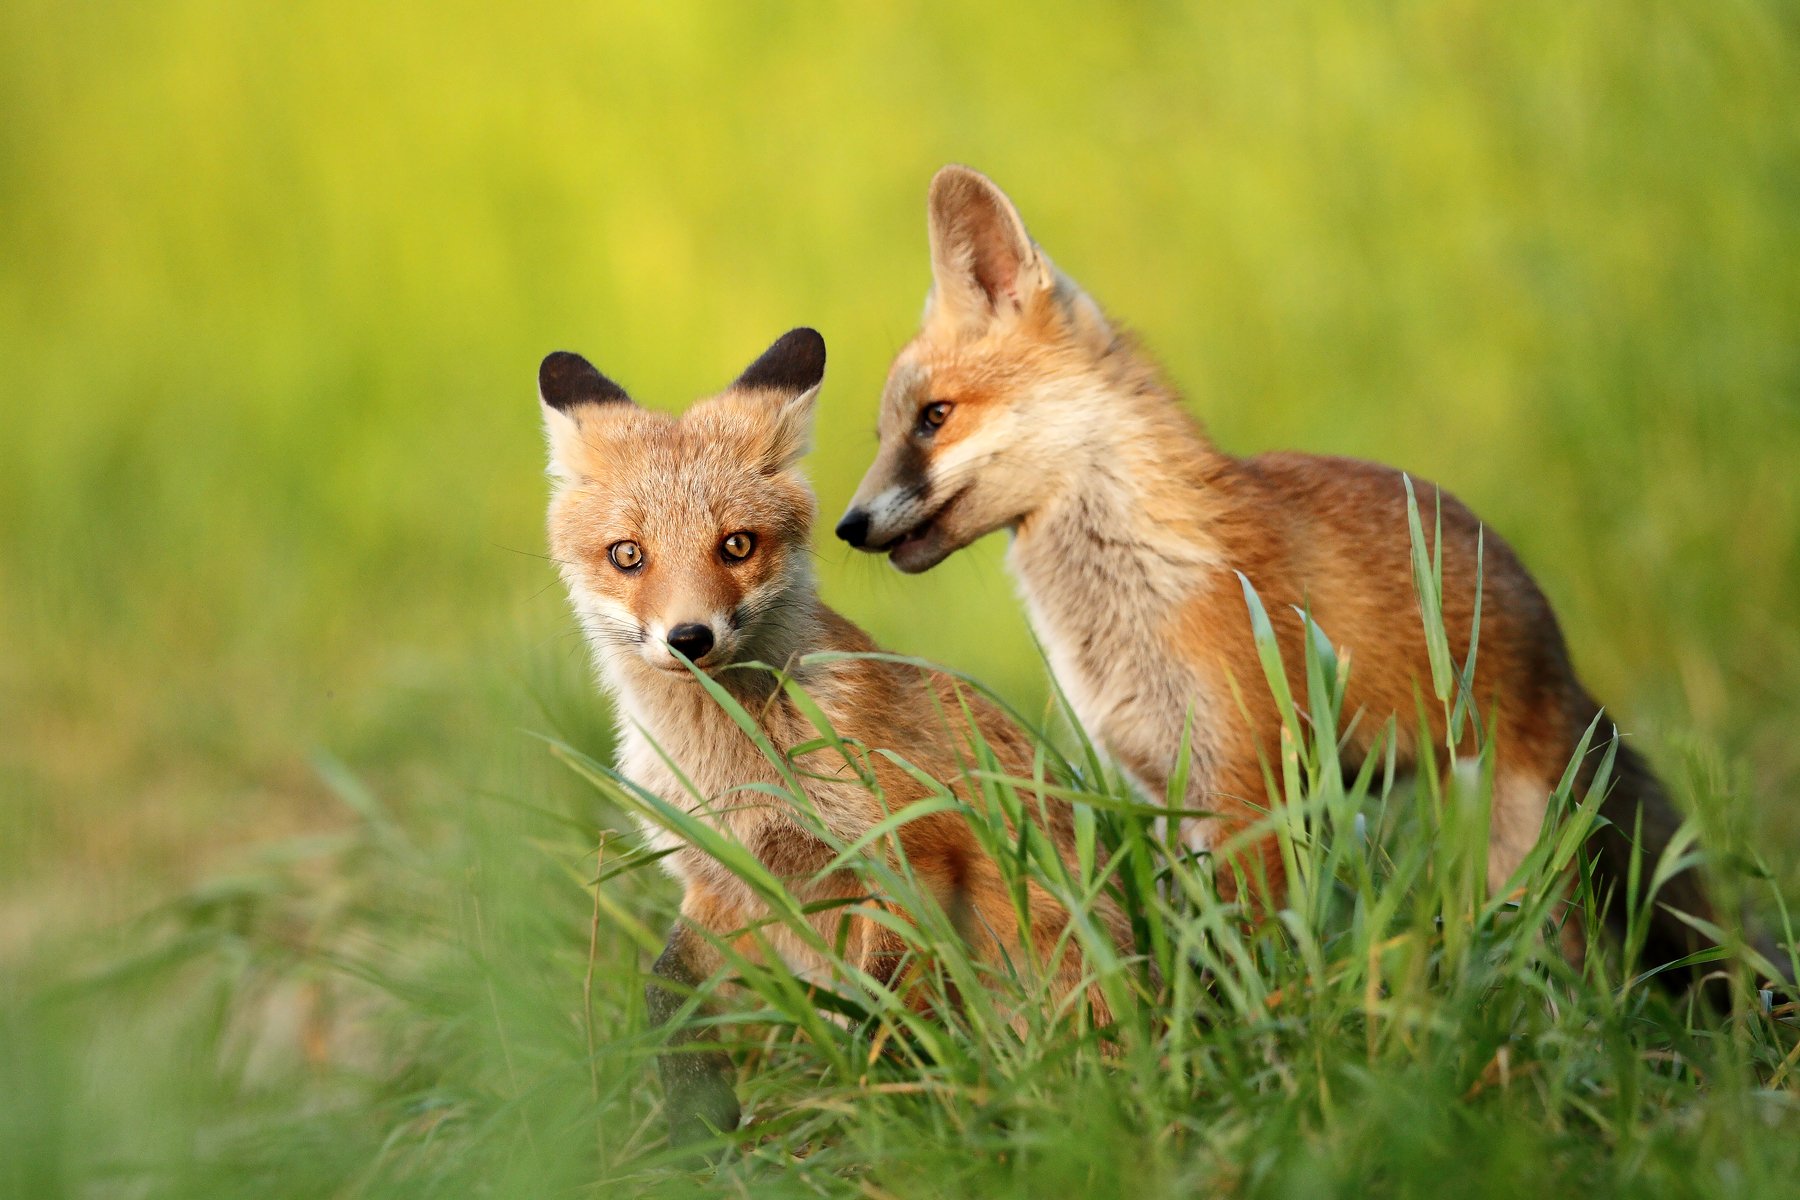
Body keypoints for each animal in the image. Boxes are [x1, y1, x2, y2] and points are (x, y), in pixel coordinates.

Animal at [536, 325, 1123, 1144]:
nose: (689, 638)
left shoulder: (911, 852)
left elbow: (881, 1005)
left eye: (737, 546)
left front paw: (884, 1113)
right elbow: (664, 990)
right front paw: (697, 1116)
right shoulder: (726, 887)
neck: (735, 775)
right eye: (628, 555)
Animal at [835, 166, 1720, 978]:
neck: (1136, 596)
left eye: (935, 418)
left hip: (1508, 841)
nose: (847, 526)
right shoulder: (1160, 786)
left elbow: (1252, 950)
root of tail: (1563, 662)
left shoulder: (1245, 781)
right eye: (885, 434)